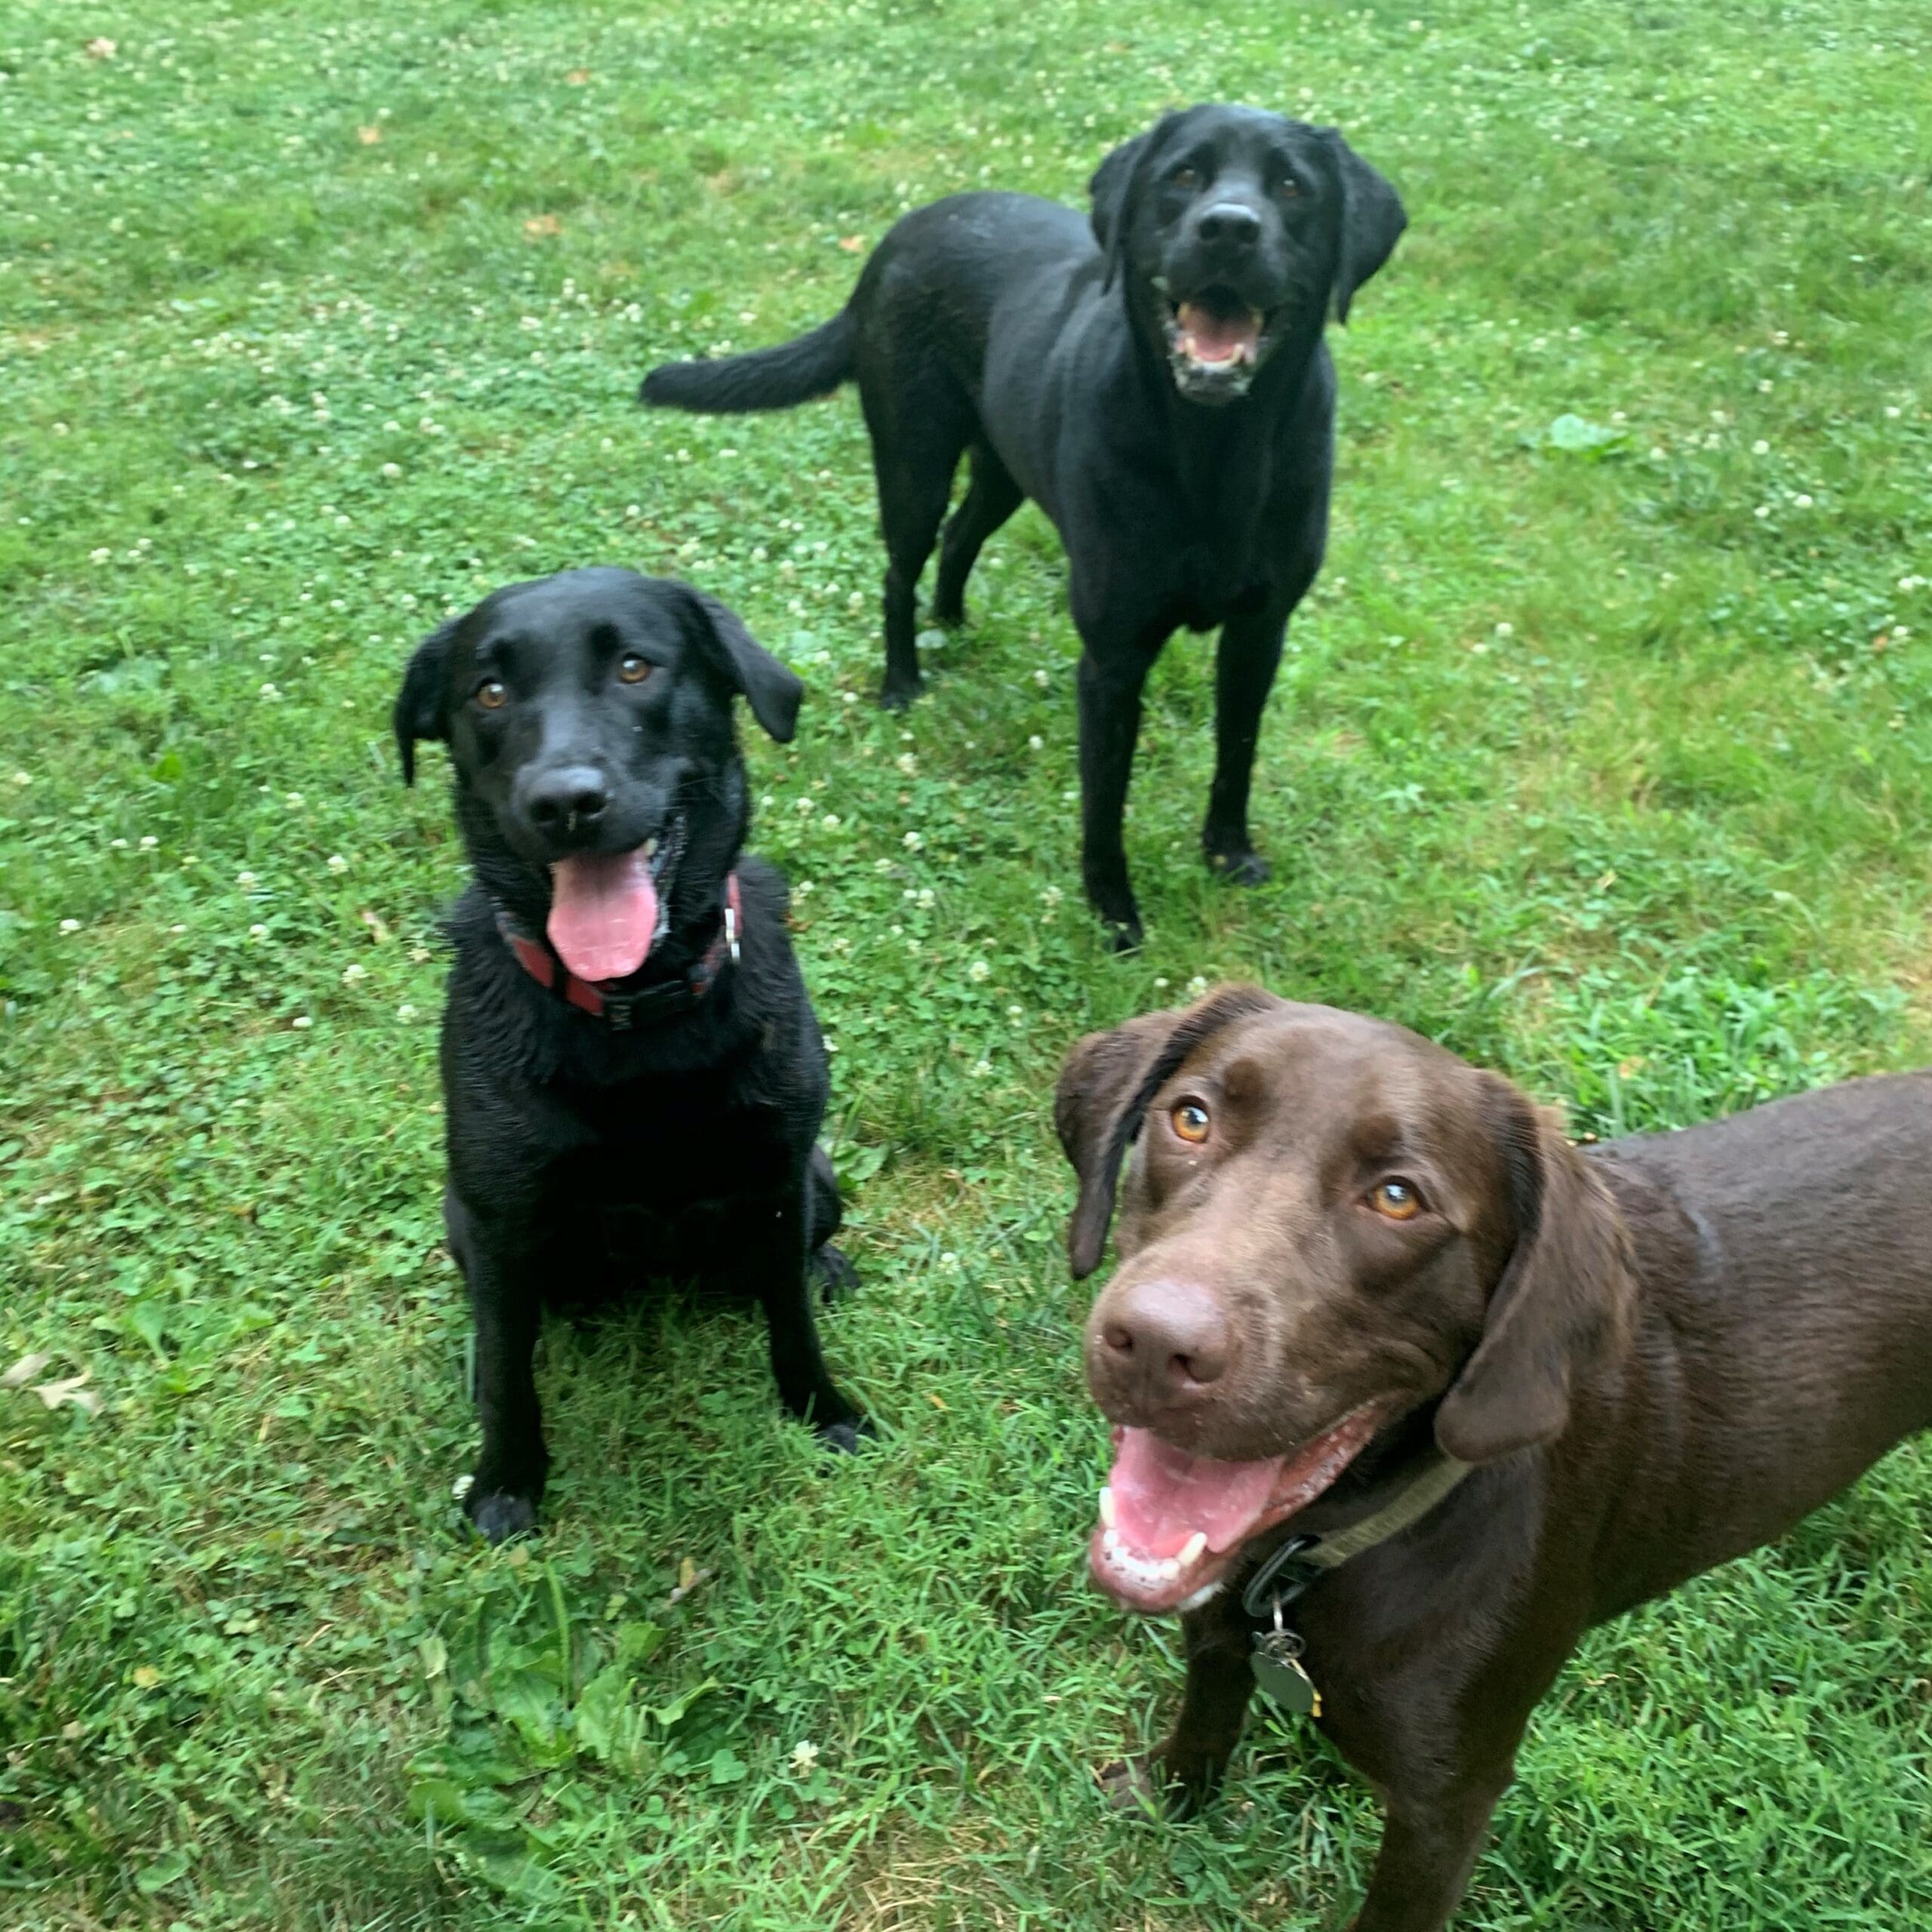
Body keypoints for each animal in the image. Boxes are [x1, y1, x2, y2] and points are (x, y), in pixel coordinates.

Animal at [395, 564, 865, 1546]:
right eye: (488, 692)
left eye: (635, 668)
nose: (564, 802)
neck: (635, 1007)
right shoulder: (498, 1216)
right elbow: (509, 1371)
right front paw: (507, 1482)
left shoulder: (778, 1176)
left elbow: (792, 1322)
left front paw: (824, 1410)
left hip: (821, 1175)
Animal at [645, 106, 1406, 950]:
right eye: (1183, 176)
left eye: (1291, 187)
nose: (1229, 229)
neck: (1217, 449)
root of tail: (898, 237)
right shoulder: (1113, 659)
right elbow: (1104, 803)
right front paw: (1114, 914)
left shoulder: (1260, 632)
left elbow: (1235, 756)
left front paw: (1228, 854)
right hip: (914, 459)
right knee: (901, 569)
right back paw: (904, 681)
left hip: (1004, 468)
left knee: (960, 539)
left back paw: (954, 623)